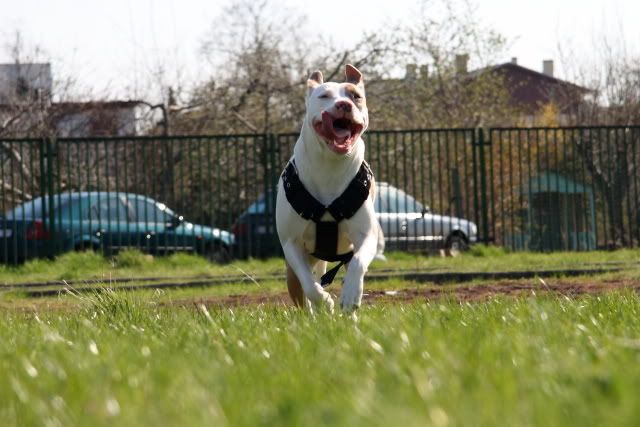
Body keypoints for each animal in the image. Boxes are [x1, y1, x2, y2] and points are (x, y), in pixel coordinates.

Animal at [275, 64, 379, 313]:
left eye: (355, 96)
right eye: (324, 96)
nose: (344, 105)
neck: (330, 166)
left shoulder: (367, 236)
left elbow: (358, 263)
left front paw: (350, 295)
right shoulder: (291, 244)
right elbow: (309, 285)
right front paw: (325, 302)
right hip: (293, 272)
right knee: (303, 292)